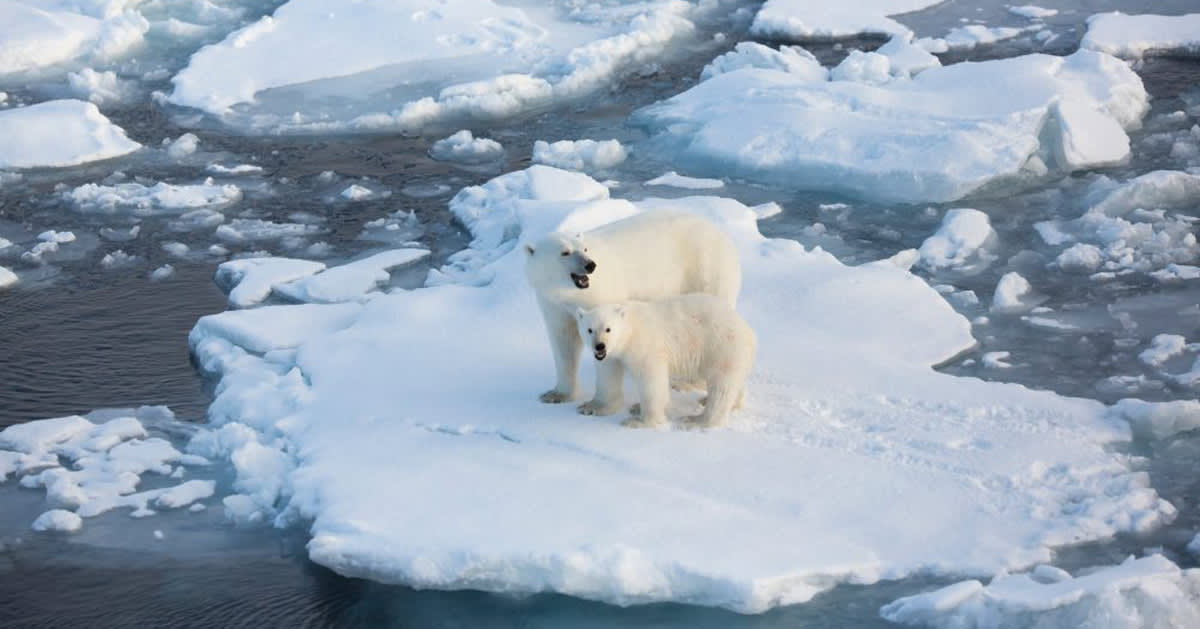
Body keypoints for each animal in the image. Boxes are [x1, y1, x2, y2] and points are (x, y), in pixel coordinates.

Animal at [523, 210, 741, 413]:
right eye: (565, 252)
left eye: (584, 249)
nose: (590, 265)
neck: (571, 293)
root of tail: (723, 236)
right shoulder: (553, 303)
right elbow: (564, 341)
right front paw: (556, 394)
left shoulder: (599, 297)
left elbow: (607, 341)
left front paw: (596, 405)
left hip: (705, 269)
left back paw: (687, 382)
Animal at [575, 294, 756, 428]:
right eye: (589, 329)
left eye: (608, 329)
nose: (600, 346)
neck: (630, 329)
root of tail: (748, 330)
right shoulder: (612, 356)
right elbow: (607, 376)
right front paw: (591, 407)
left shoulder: (644, 345)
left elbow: (651, 379)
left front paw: (641, 422)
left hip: (721, 345)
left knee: (721, 385)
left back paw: (696, 421)